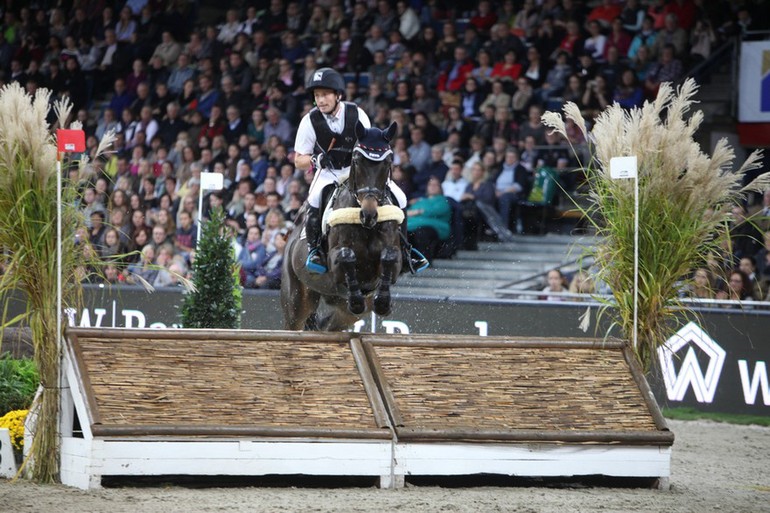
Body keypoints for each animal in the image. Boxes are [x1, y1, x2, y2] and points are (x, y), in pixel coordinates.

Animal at [280, 120, 402, 330]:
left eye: (387, 162)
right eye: (357, 160)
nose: (369, 214)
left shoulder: (395, 256)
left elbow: (390, 255)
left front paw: (383, 303)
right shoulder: (335, 261)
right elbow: (346, 256)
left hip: (344, 313)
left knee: (328, 326)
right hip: (297, 302)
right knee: (294, 323)